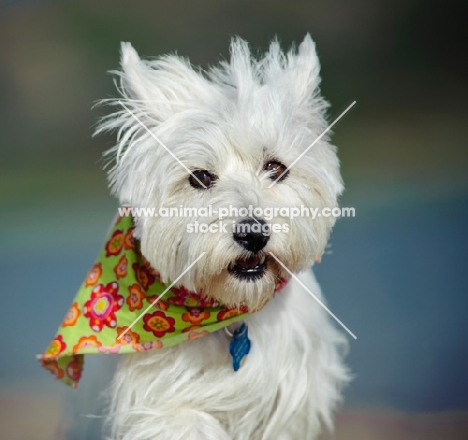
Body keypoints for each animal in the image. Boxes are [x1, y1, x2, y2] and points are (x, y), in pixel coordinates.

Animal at [91, 32, 350, 438]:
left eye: (275, 168)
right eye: (199, 177)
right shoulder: (158, 399)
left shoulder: (290, 399)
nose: (253, 234)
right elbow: (184, 420)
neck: (231, 314)